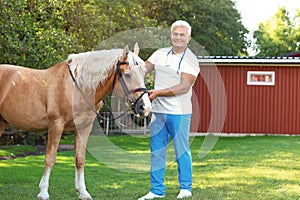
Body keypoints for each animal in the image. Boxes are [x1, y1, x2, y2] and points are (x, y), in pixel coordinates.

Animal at [0, 44, 151, 200]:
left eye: (144, 73)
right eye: (127, 74)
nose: (145, 107)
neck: (78, 87)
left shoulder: (83, 128)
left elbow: (80, 159)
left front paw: (82, 192)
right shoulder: (56, 125)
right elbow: (50, 157)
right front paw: (43, 192)